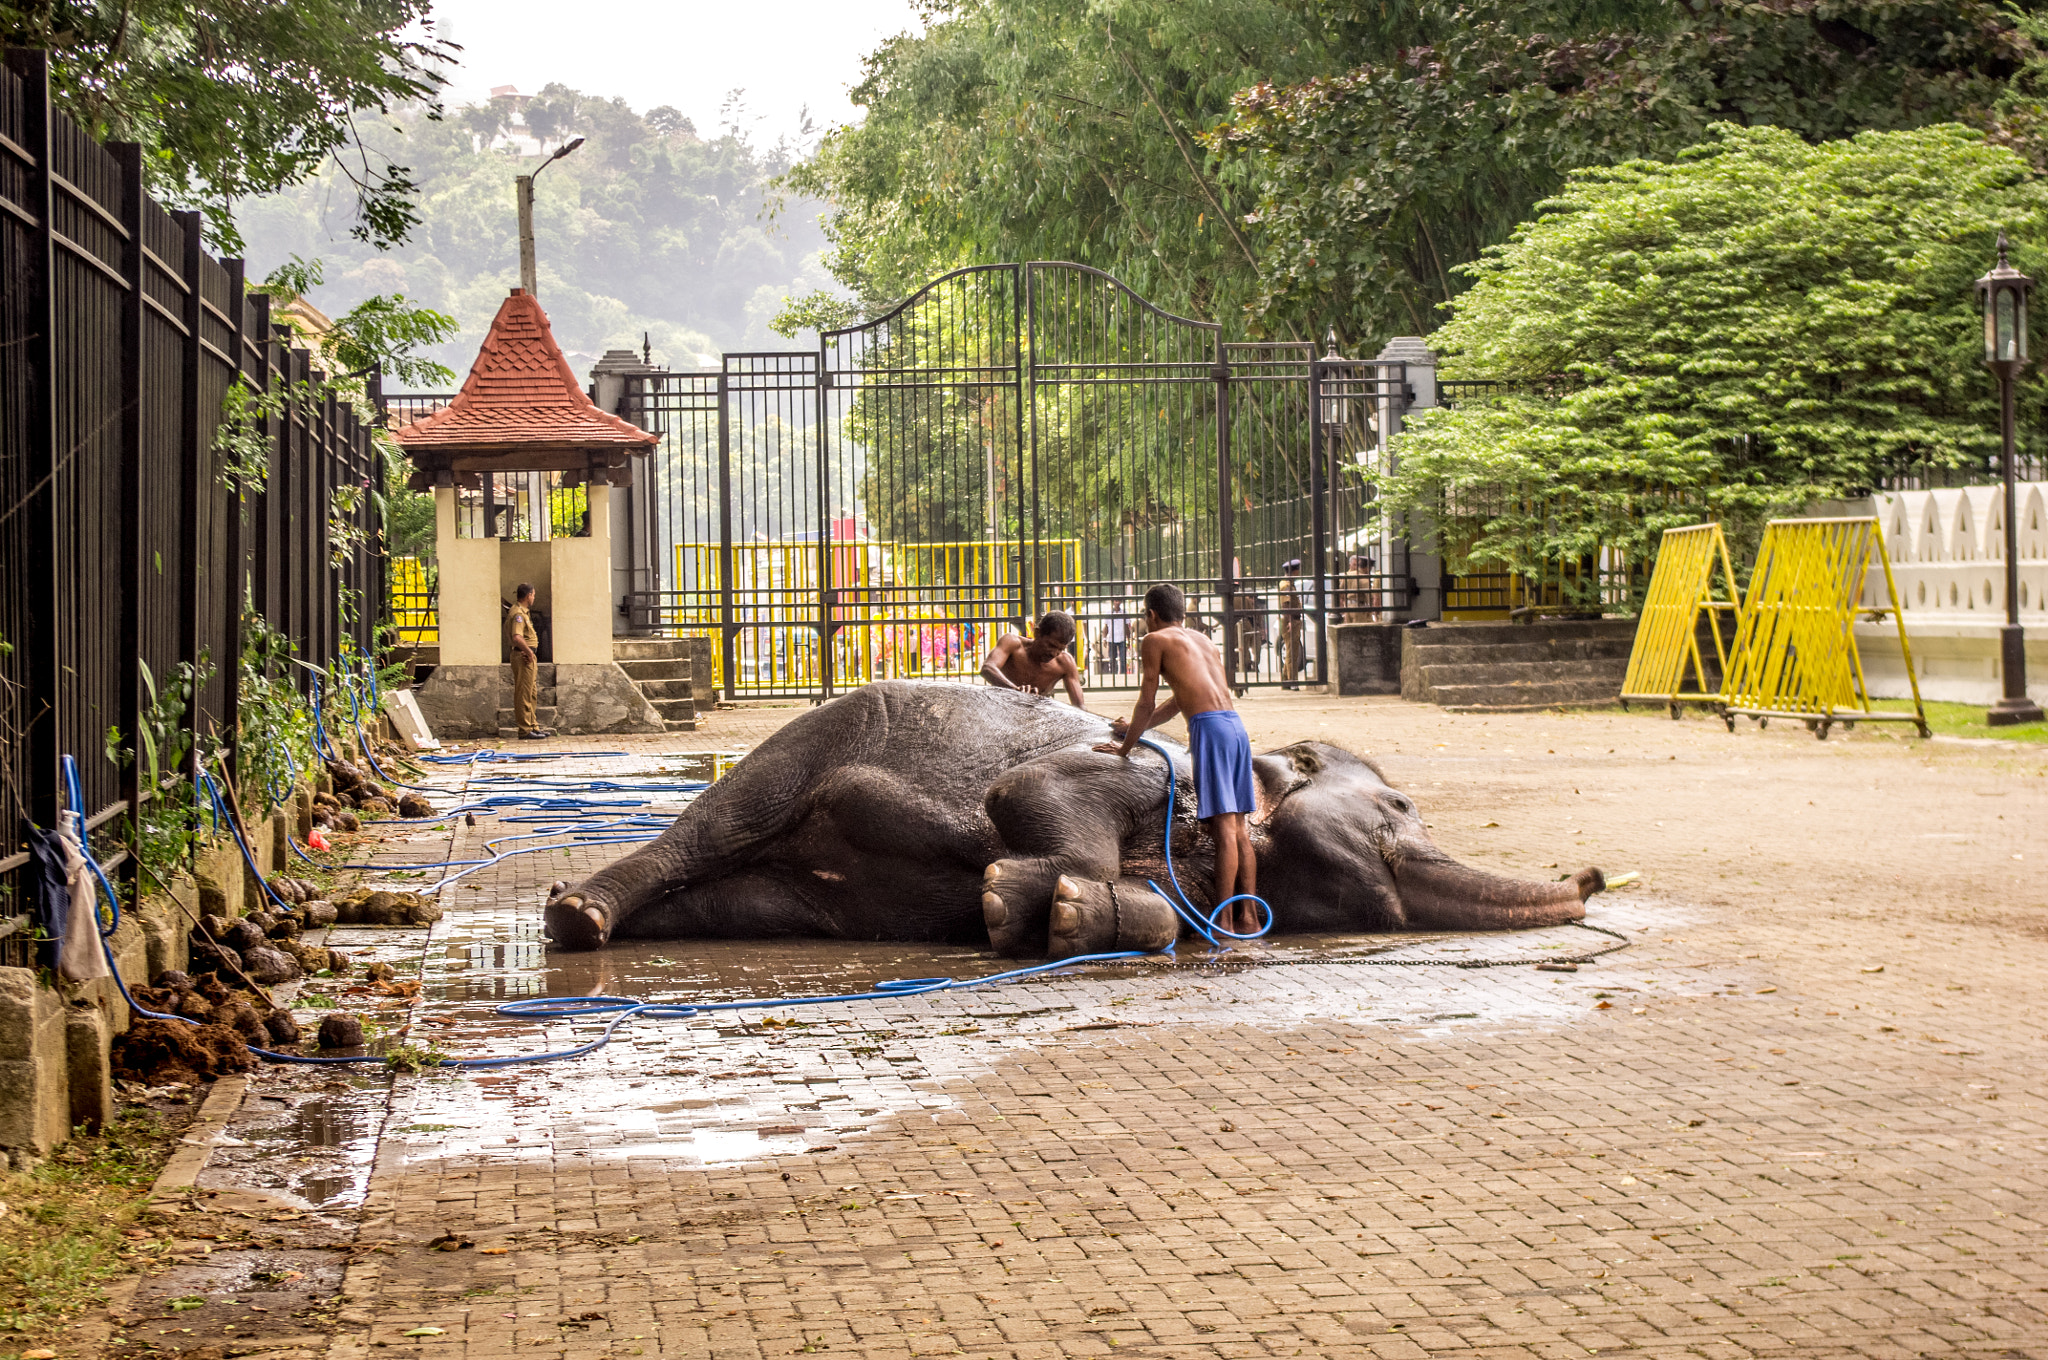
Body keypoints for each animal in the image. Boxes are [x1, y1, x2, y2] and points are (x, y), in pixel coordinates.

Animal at [544, 680, 1597, 954]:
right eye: (1402, 806)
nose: (1593, 873)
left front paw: (1038, 910)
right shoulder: (1149, 778)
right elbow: (1029, 793)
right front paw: (1015, 898)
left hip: (787, 897)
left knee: (724, 899)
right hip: (797, 747)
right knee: (712, 828)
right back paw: (577, 916)